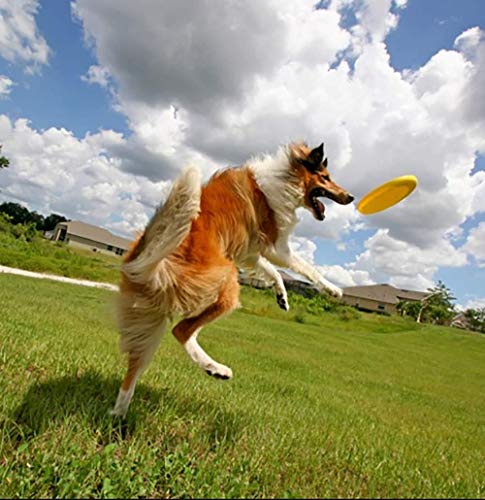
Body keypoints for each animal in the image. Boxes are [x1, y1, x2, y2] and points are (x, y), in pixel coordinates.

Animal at [111, 141, 354, 414]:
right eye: (326, 177)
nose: (351, 197)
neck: (287, 175)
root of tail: (149, 261)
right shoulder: (276, 246)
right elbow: (306, 267)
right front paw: (333, 289)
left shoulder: (251, 251)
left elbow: (273, 272)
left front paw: (282, 297)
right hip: (226, 283)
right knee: (181, 330)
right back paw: (217, 369)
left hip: (150, 320)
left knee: (135, 369)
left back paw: (121, 413)